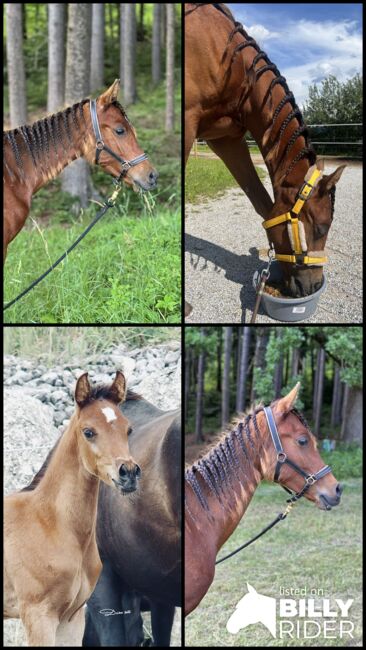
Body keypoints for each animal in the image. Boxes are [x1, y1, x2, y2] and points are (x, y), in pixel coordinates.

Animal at [3, 368, 141, 644]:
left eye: (128, 429)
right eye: (88, 431)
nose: (129, 473)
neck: (51, 524)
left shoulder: (72, 619)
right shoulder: (38, 616)